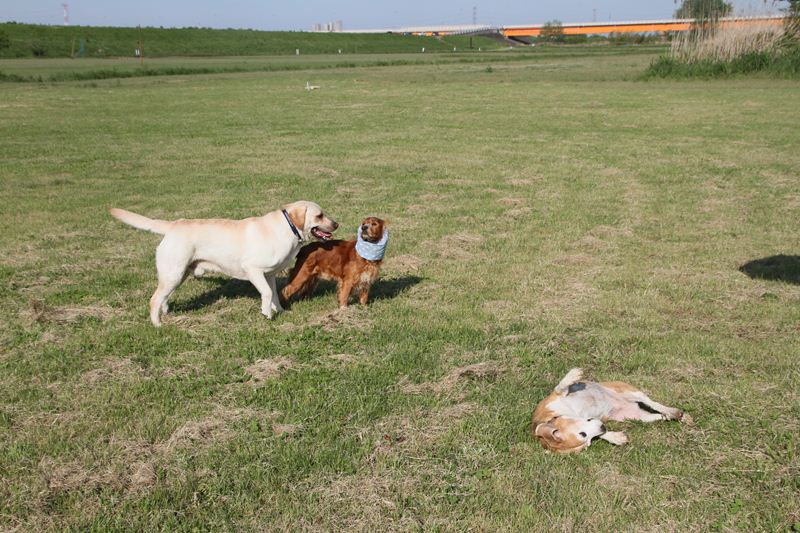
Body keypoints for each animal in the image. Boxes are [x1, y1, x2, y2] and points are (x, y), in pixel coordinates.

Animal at [110, 201, 337, 326]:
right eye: (319, 215)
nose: (337, 223)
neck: (287, 227)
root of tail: (174, 224)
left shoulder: (270, 274)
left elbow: (274, 293)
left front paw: (279, 311)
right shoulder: (253, 270)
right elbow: (265, 293)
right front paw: (266, 314)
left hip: (177, 274)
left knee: (163, 297)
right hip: (174, 273)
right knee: (154, 299)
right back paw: (158, 324)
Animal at [531, 368, 689, 454]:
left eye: (582, 434)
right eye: (587, 440)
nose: (603, 426)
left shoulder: (555, 397)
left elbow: (560, 386)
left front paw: (574, 374)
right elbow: (603, 435)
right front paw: (615, 437)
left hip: (628, 391)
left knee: (653, 403)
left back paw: (674, 412)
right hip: (634, 416)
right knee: (656, 415)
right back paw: (669, 416)